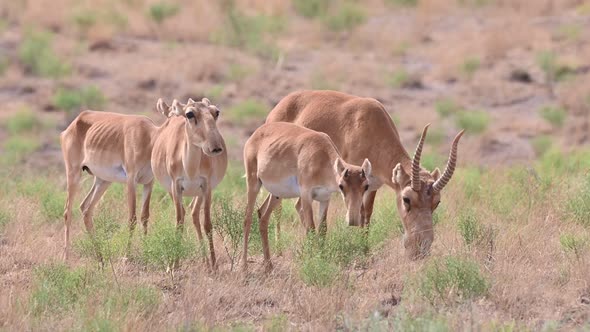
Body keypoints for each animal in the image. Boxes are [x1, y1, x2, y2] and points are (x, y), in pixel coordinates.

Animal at [151, 96, 228, 268]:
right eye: (190, 114)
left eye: (216, 112)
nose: (215, 147)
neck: (190, 168)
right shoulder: (176, 186)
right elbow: (179, 223)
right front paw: (174, 265)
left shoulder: (206, 187)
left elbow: (208, 224)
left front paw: (214, 265)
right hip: (172, 191)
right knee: (186, 213)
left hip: (198, 193)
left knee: (194, 213)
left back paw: (206, 262)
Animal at [242, 120, 372, 272]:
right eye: (341, 185)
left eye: (366, 186)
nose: (353, 220)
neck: (321, 155)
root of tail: (256, 134)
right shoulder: (306, 197)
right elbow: (310, 228)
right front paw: (312, 262)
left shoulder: (325, 199)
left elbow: (322, 230)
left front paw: (322, 260)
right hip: (253, 183)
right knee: (247, 218)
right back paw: (244, 266)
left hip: (276, 194)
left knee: (263, 216)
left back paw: (269, 265)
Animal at [266, 91, 464, 260]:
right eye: (407, 199)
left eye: (436, 202)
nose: (421, 248)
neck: (370, 124)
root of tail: (279, 107)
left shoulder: (372, 186)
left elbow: (366, 215)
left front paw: (364, 249)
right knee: (278, 208)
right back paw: (280, 250)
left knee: (298, 206)